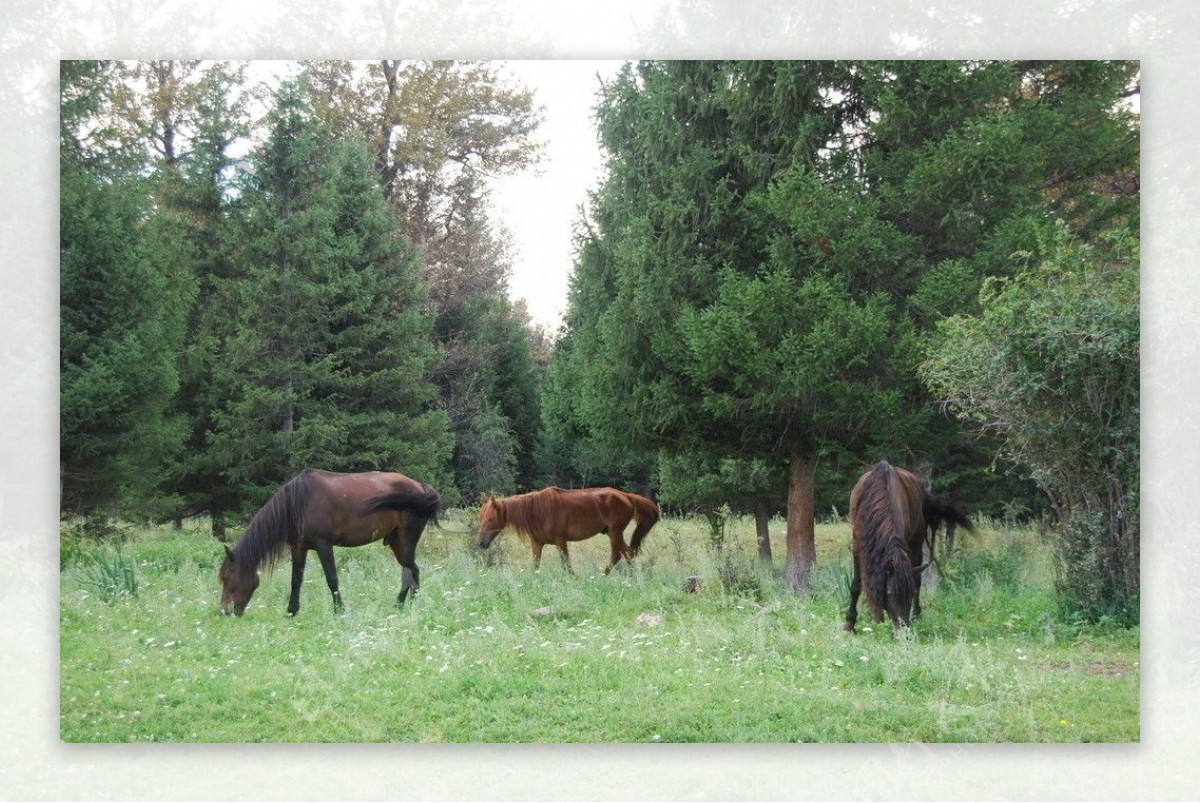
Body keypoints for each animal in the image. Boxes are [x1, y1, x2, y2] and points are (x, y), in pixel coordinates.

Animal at [217, 465, 441, 619]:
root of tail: (421, 488)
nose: (226, 611)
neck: (298, 503)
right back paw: (402, 607)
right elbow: (296, 580)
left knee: (410, 571)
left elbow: (332, 579)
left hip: (406, 539)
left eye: (229, 578)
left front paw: (340, 611)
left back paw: (406, 607)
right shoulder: (299, 548)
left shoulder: (323, 545)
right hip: (396, 542)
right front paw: (291, 612)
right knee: (412, 571)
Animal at [470, 484, 662, 573]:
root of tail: (626, 496)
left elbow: (567, 566)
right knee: (628, 553)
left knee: (617, 555)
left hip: (614, 532)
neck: (538, 511)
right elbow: (535, 566)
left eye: (491, 518)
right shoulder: (537, 544)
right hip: (613, 532)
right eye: (481, 518)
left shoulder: (561, 542)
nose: (480, 543)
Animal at [849, 456, 969, 633]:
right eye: (890, 594)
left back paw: (917, 614)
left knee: (917, 577)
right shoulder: (858, 544)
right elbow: (857, 585)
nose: (903, 633)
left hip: (917, 542)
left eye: (909, 595)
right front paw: (850, 624)